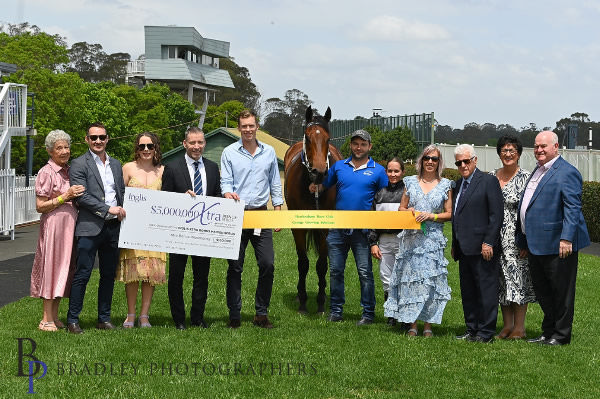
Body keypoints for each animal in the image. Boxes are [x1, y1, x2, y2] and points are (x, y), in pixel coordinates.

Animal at [282, 106, 340, 316]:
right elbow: (303, 263)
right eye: (308, 136)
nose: (319, 172)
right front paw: (303, 303)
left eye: (328, 138)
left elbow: (322, 265)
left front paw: (321, 303)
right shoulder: (298, 228)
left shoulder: (325, 229)